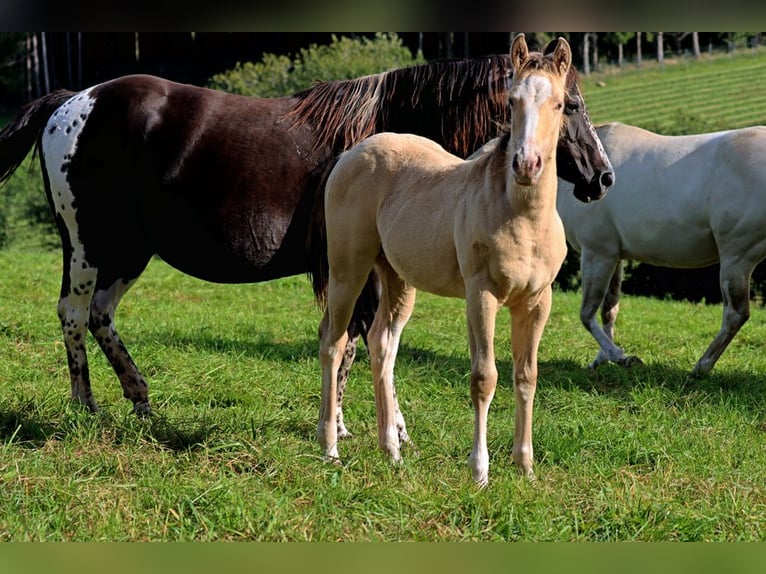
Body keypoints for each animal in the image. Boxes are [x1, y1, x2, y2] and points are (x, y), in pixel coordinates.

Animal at [0, 54, 616, 424]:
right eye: (571, 105)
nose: (603, 177)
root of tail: (70, 101)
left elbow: (367, 344)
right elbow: (351, 344)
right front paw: (341, 426)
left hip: (129, 251)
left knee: (99, 313)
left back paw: (140, 399)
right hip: (88, 246)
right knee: (73, 313)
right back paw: (86, 406)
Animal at [314, 35, 588, 486]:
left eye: (561, 104)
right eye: (511, 100)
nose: (526, 165)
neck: (522, 218)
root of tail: (351, 154)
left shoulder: (536, 302)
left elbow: (526, 376)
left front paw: (525, 467)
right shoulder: (482, 295)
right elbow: (485, 377)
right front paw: (480, 472)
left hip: (397, 278)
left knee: (381, 343)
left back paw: (391, 451)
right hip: (347, 271)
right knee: (333, 342)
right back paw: (331, 449)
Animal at [560, 119, 766, 376]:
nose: (598, 183)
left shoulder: (596, 253)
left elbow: (587, 313)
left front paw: (622, 358)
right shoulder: (615, 256)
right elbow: (609, 309)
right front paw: (601, 360)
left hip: (736, 258)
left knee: (736, 313)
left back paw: (701, 367)